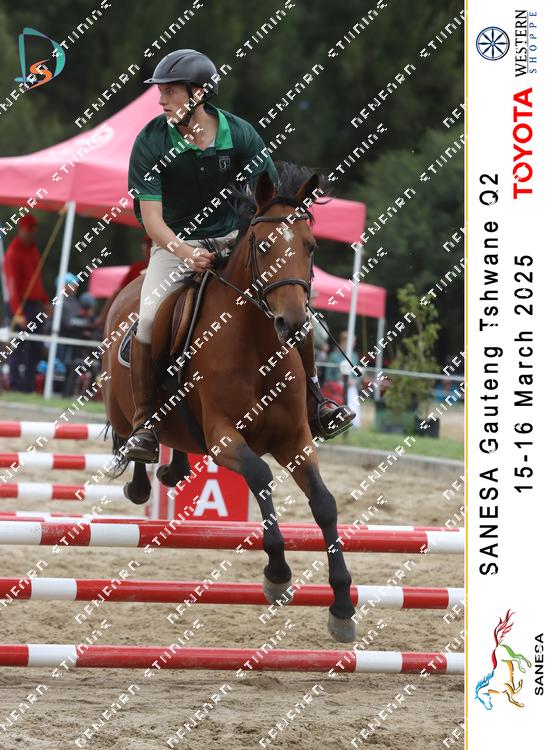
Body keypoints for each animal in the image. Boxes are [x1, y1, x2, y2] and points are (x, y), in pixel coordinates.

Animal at [102, 165, 356, 642]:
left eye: (311, 247)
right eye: (262, 246)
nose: (294, 324)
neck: (256, 346)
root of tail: (128, 291)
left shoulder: (296, 439)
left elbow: (325, 504)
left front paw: (343, 607)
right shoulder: (224, 438)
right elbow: (260, 477)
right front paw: (277, 574)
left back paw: (173, 469)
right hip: (122, 405)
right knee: (130, 438)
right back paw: (142, 468)